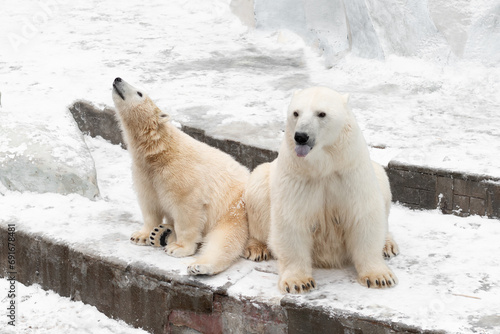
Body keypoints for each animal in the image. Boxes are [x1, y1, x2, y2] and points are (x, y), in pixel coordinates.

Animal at [111, 78, 248, 276]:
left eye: (139, 93)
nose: (117, 79)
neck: (159, 152)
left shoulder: (182, 175)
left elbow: (187, 209)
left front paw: (179, 248)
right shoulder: (144, 174)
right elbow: (149, 203)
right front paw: (141, 235)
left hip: (233, 210)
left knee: (225, 240)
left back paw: (199, 265)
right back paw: (161, 233)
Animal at [245, 86, 398, 292]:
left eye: (321, 113)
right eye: (296, 113)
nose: (301, 136)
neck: (324, 165)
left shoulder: (349, 172)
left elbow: (363, 215)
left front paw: (380, 277)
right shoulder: (297, 177)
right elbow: (292, 220)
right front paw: (299, 282)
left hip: (378, 176)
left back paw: (387, 245)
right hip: (264, 180)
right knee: (257, 188)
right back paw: (257, 248)